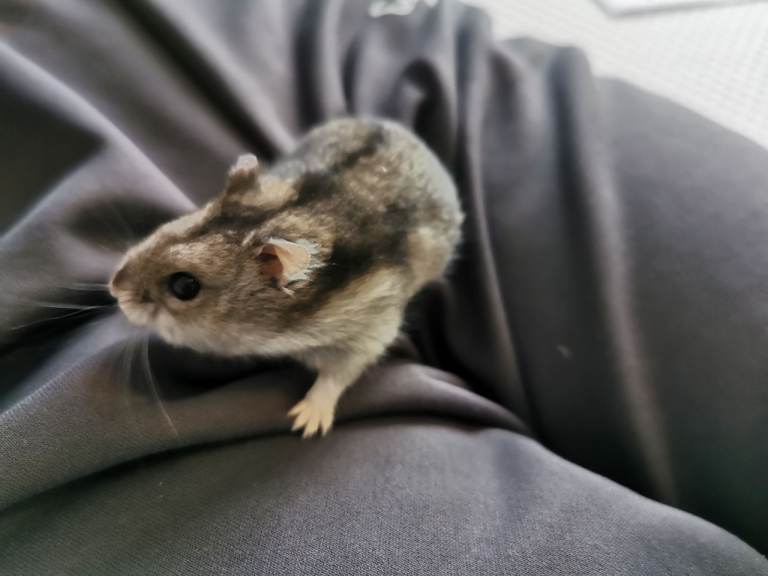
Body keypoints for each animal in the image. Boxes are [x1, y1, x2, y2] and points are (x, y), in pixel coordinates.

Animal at [109, 118, 463, 437]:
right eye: (169, 227)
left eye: (184, 286)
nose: (114, 288)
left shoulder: (369, 333)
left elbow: (336, 375)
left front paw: (304, 423)